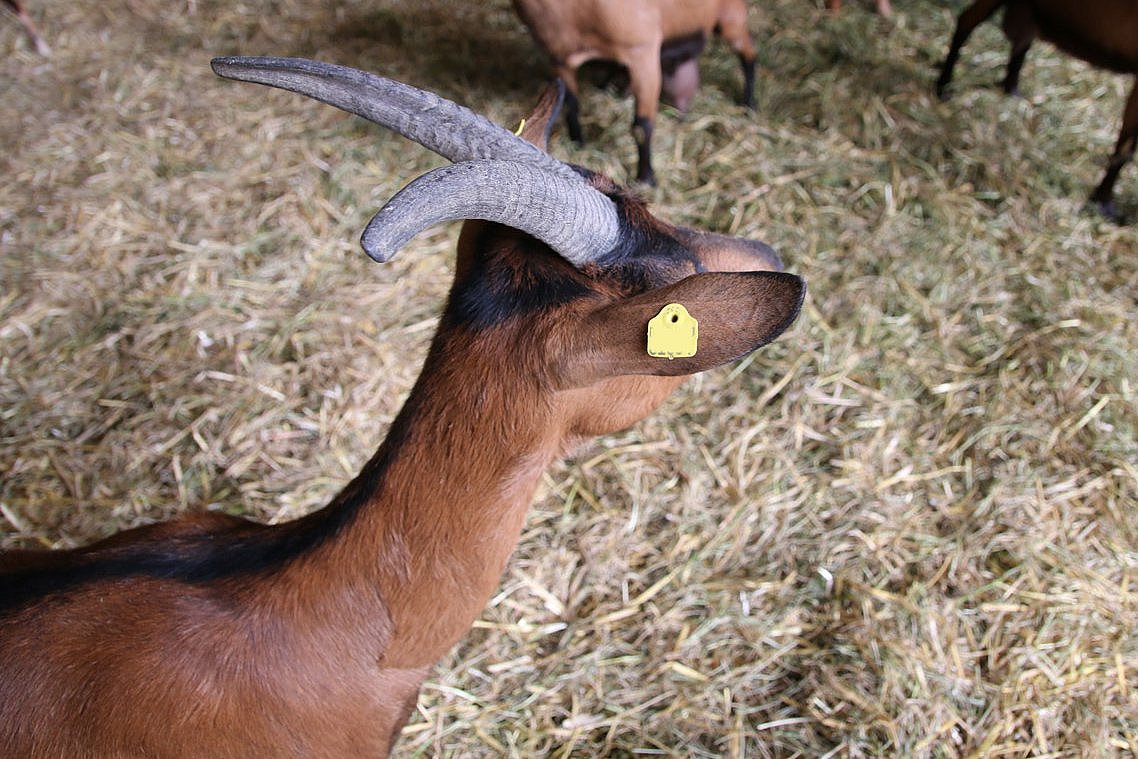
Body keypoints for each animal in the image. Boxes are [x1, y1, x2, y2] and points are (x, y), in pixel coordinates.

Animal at [507, 0, 755, 185]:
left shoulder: (643, 53)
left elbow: (642, 125)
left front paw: (646, 178)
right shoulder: (559, 60)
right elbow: (571, 105)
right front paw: (578, 143)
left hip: (730, 16)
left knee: (749, 54)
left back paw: (750, 104)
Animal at [933, 0, 1138, 219]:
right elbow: (1125, 151)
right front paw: (1103, 204)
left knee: (1021, 39)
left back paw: (1011, 91)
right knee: (966, 21)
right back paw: (943, 87)